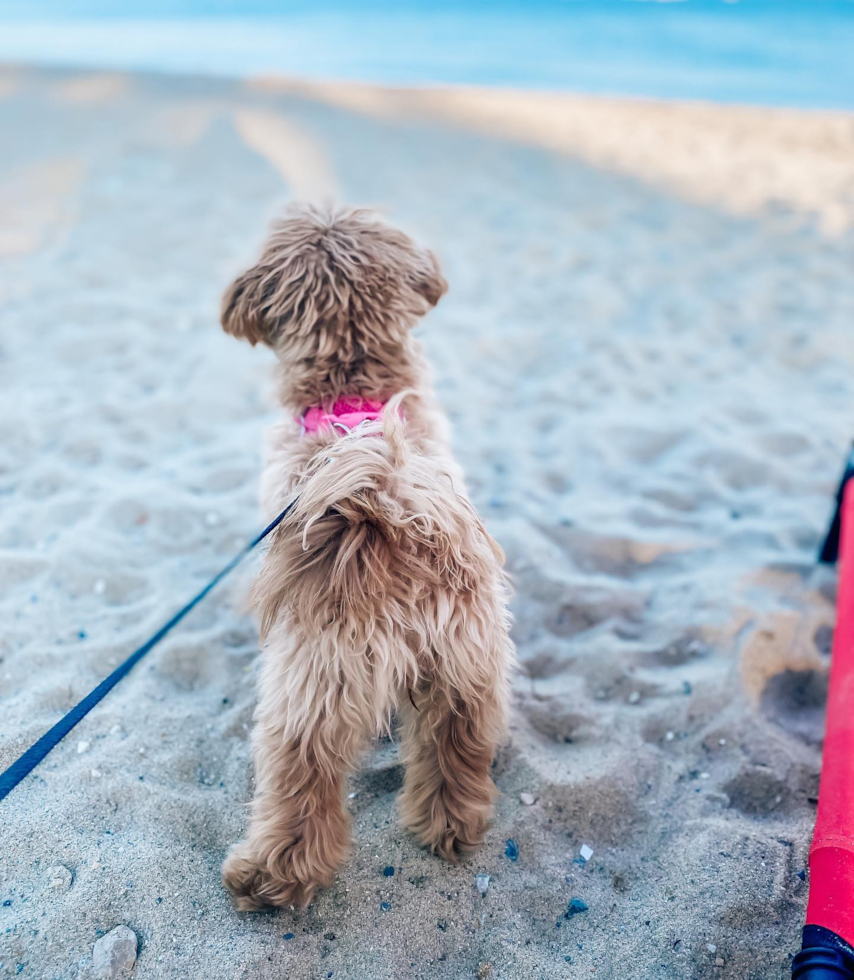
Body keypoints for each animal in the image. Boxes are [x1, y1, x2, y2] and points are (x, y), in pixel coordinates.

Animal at [221, 205, 516, 912]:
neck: (353, 391)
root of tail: (390, 521)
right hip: (468, 670)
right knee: (457, 749)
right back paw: (451, 827)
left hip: (309, 686)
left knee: (302, 777)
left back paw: (269, 877)